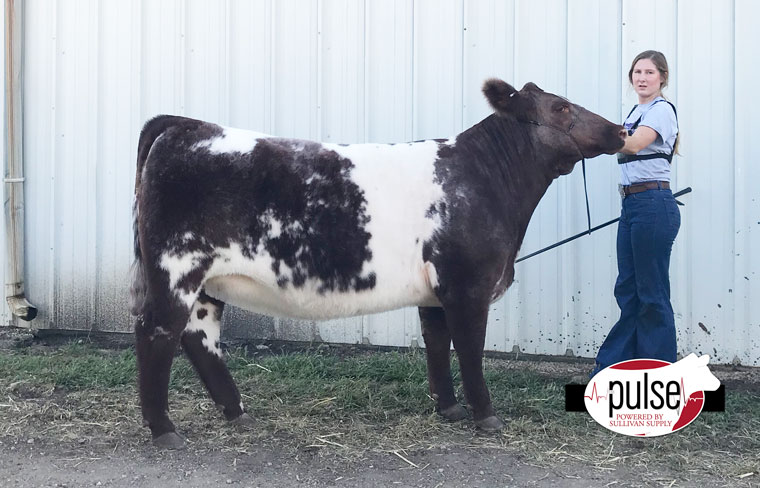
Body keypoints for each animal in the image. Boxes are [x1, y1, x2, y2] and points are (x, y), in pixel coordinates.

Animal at [131, 79, 628, 446]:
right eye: (560, 107)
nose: (620, 130)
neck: (482, 178)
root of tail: (185, 126)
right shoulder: (468, 284)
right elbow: (469, 349)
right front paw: (486, 416)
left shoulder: (435, 291)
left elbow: (436, 344)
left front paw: (448, 408)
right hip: (176, 268)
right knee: (157, 332)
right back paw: (164, 430)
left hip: (207, 282)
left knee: (198, 338)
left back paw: (236, 412)